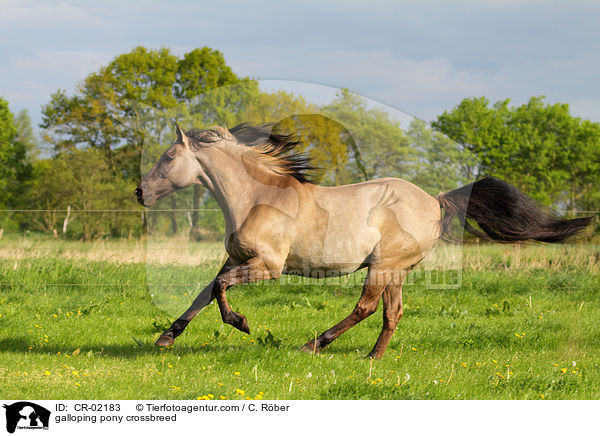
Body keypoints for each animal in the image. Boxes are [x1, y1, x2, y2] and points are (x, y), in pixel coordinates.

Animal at [136, 122, 592, 358]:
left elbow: (219, 290)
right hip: (396, 271)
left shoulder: (268, 267)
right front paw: (167, 337)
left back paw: (314, 344)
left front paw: (242, 323)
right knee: (393, 313)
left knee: (367, 308)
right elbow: (205, 292)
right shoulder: (235, 259)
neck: (258, 198)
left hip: (383, 266)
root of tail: (436, 200)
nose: (141, 193)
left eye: (168, 157)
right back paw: (373, 356)